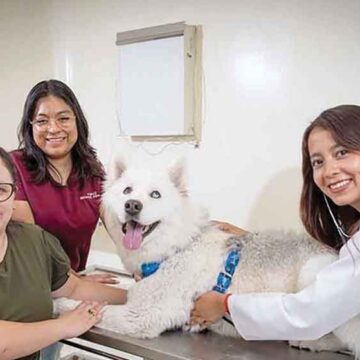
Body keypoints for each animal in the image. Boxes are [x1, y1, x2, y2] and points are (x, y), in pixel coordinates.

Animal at [54, 154, 358, 358]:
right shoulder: (139, 295)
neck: (176, 247)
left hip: (316, 277)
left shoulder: (141, 316)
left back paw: (309, 341)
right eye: (127, 190)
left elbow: (85, 307)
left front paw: (61, 305)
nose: (132, 205)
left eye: (155, 194)